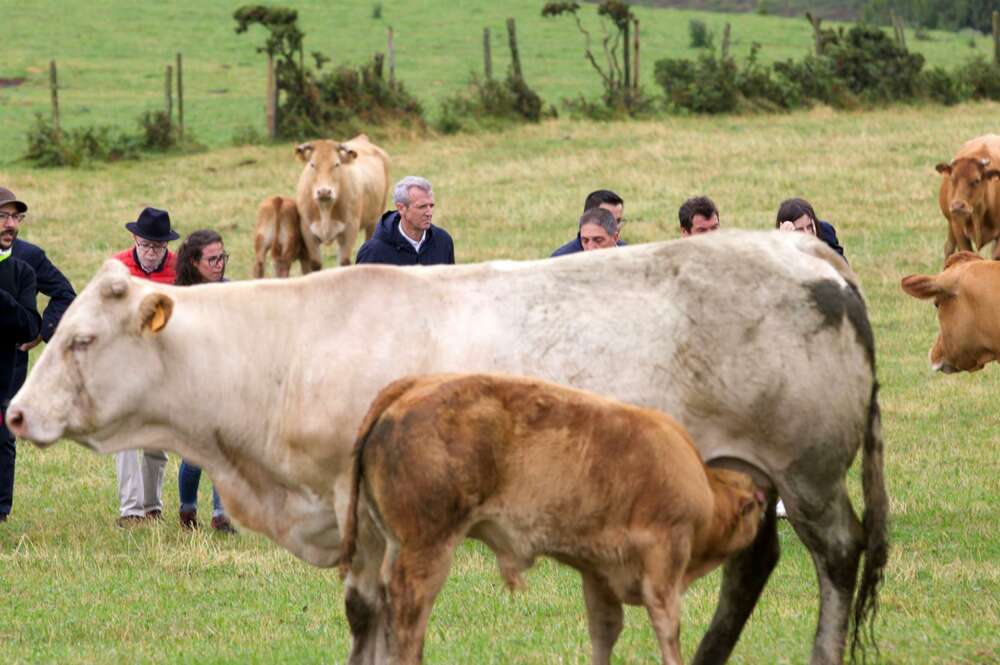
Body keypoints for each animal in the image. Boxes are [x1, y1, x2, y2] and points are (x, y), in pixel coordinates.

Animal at [294, 135, 388, 268]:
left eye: (337, 164)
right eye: (312, 165)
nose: (324, 191)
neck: (325, 209)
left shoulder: (350, 230)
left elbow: (344, 262)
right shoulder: (308, 230)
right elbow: (315, 263)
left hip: (374, 221)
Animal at [342, 374, 764, 664]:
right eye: (753, 508)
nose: (762, 500)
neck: (706, 487)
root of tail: (411, 388)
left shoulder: (598, 573)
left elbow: (605, 629)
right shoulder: (664, 558)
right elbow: (667, 625)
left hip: (385, 547)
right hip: (428, 551)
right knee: (407, 619)